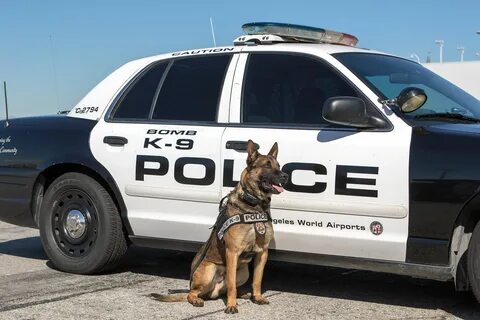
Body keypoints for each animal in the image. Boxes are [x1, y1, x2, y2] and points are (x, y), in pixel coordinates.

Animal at [152, 139, 288, 312]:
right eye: (267, 165)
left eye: (279, 165)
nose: (285, 176)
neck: (254, 206)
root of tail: (212, 292)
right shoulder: (232, 252)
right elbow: (231, 285)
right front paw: (231, 305)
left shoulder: (262, 253)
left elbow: (257, 280)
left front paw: (257, 297)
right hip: (209, 271)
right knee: (193, 292)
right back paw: (197, 299)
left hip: (243, 272)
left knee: (224, 289)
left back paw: (244, 294)